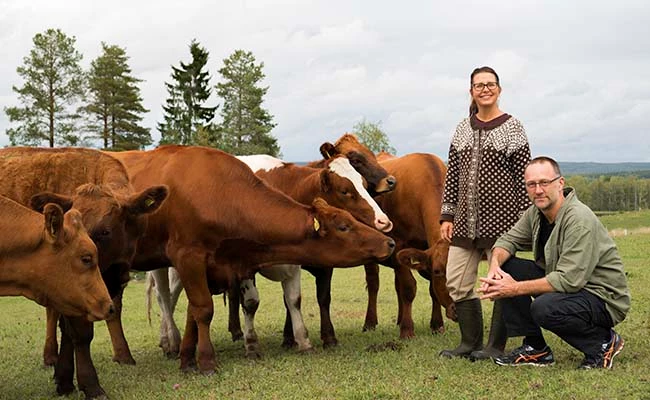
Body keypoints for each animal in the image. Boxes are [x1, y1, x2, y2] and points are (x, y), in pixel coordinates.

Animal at [110, 145, 394, 374]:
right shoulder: (231, 262)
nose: (385, 224)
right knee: (164, 298)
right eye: (346, 191)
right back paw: (165, 342)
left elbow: (295, 299)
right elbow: (246, 303)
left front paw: (301, 340)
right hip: (161, 267)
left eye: (364, 184)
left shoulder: (290, 263)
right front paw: (248, 347)